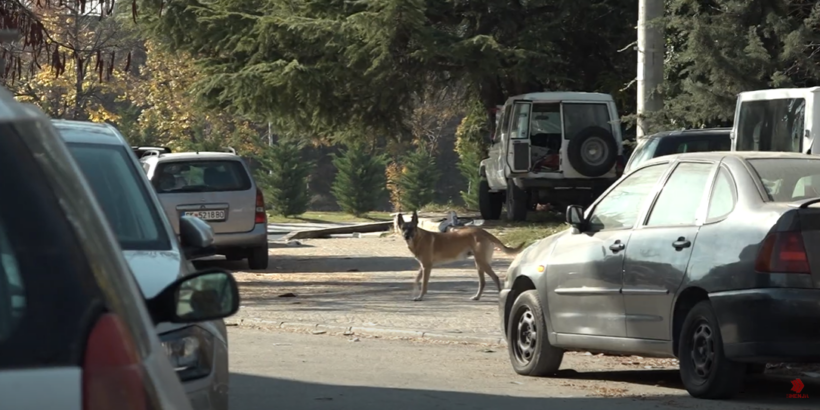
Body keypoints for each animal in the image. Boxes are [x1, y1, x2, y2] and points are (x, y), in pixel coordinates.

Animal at [396, 211, 524, 302]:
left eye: (412, 228)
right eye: (403, 228)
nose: (406, 236)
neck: (418, 239)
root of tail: (484, 231)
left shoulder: (427, 267)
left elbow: (424, 284)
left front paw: (420, 297)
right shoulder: (422, 267)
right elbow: (416, 281)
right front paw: (414, 294)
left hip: (481, 262)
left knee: (495, 278)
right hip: (479, 264)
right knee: (482, 282)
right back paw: (477, 297)